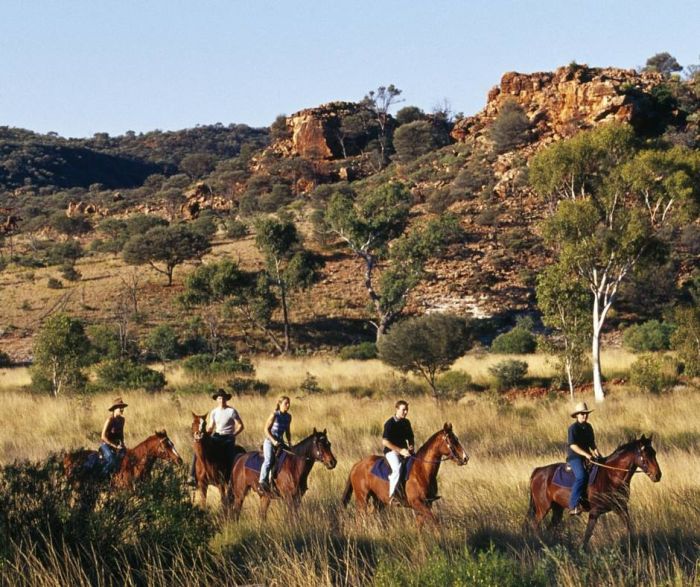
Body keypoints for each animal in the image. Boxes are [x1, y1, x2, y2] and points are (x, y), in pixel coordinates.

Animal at [340, 422, 468, 528]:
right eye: (451, 441)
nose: (465, 458)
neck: (422, 470)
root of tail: (357, 465)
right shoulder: (418, 503)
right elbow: (435, 521)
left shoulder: (426, 504)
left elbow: (419, 526)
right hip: (362, 499)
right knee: (359, 519)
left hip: (379, 501)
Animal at [524, 434, 660, 548]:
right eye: (645, 455)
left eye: (654, 453)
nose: (658, 475)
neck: (611, 476)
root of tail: (538, 472)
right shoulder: (595, 512)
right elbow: (588, 534)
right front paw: (582, 550)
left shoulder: (621, 508)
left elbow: (628, 526)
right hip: (543, 507)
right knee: (535, 525)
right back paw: (542, 543)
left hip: (557, 509)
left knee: (551, 527)